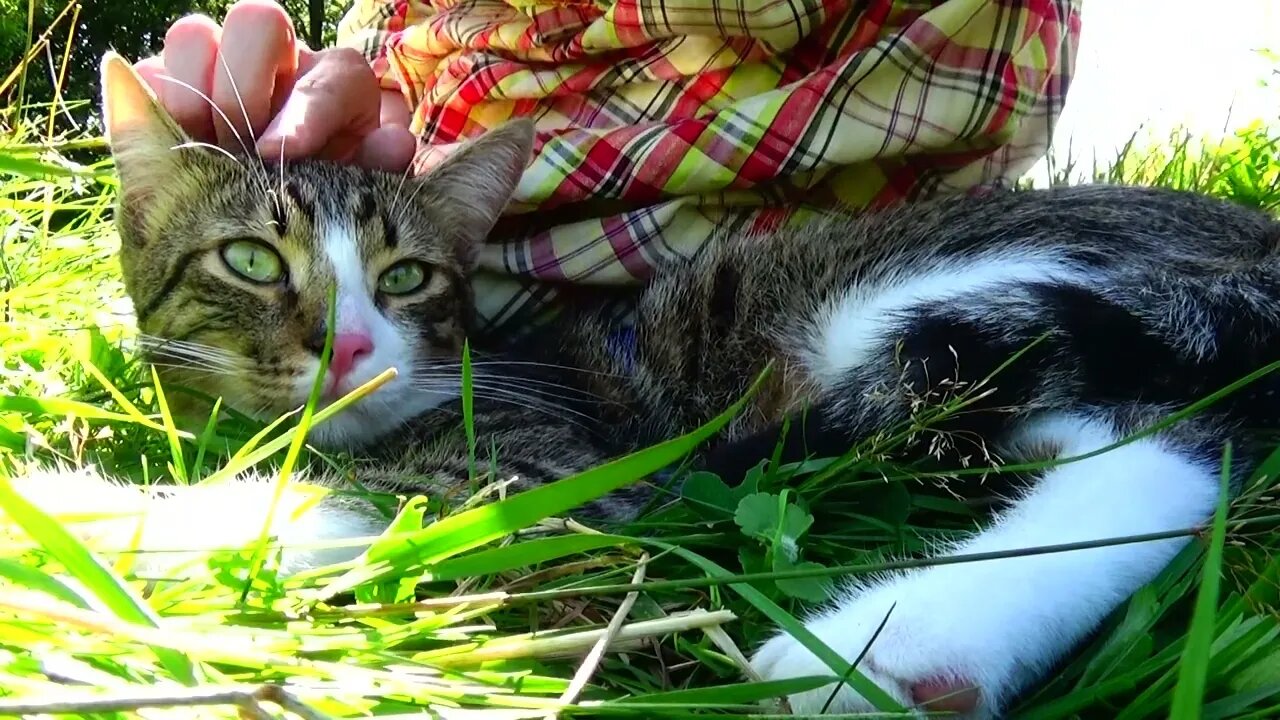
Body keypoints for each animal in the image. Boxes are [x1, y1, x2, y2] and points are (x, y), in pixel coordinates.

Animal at [12, 53, 1280, 712]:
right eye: (249, 261)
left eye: (405, 276)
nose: (350, 348)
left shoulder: (525, 459)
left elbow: (341, 502)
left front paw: (64, 513)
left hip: (912, 301)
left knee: (1179, 445)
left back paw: (887, 646)